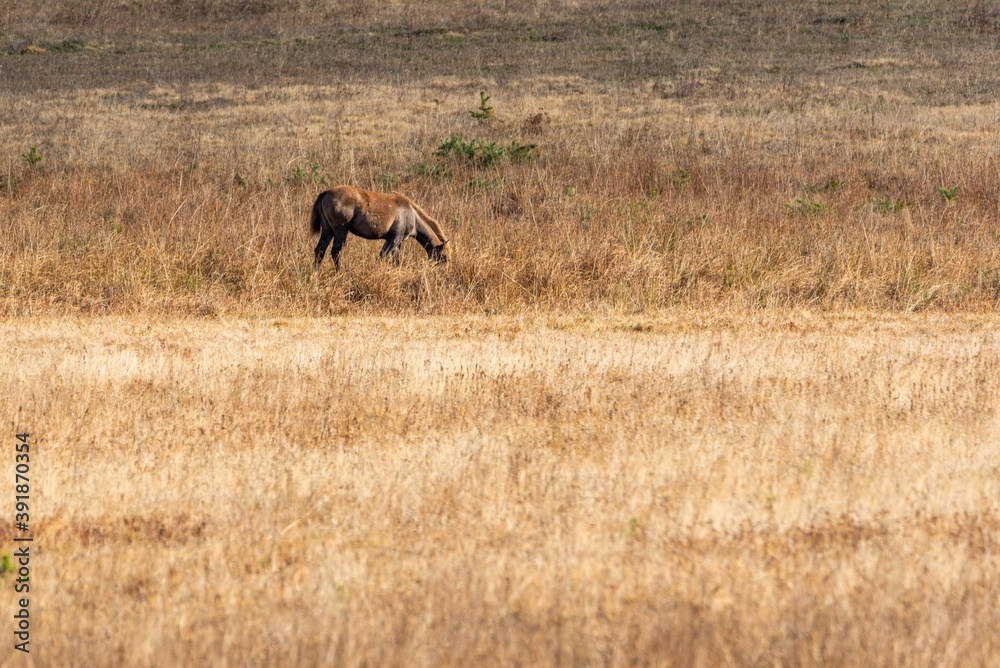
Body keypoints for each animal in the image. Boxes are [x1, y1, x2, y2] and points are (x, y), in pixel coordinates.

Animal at [309, 186, 449, 270]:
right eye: (444, 256)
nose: (443, 272)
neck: (412, 214)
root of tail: (327, 192)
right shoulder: (393, 240)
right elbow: (382, 257)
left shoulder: (397, 244)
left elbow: (397, 261)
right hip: (340, 231)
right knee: (336, 252)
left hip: (327, 231)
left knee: (320, 251)